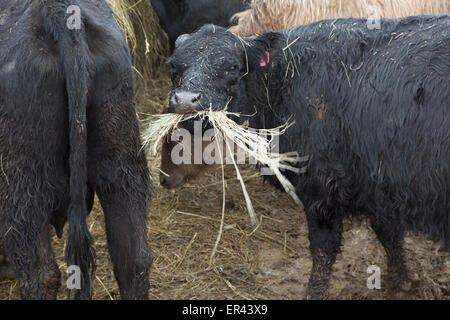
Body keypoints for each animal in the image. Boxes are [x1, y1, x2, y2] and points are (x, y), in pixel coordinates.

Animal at [166, 16, 450, 298]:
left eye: (231, 68)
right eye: (175, 70)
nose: (185, 101)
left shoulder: (321, 188)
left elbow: (324, 249)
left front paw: (315, 292)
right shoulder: (379, 185)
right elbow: (388, 232)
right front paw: (403, 280)